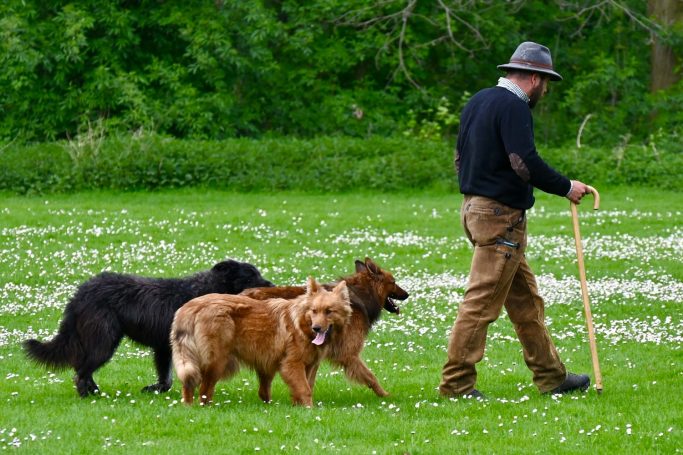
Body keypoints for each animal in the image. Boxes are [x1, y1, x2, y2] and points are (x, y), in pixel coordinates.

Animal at [23, 262, 272, 398]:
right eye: (250, 275)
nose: (271, 284)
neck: (208, 289)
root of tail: (81, 292)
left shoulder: (164, 348)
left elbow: (166, 379)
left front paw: (155, 389)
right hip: (104, 342)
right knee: (81, 371)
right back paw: (89, 395)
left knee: (82, 368)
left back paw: (95, 392)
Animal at [171, 276, 352, 408]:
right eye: (314, 311)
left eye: (329, 311)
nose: (317, 328)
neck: (301, 323)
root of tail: (191, 305)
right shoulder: (292, 365)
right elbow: (305, 390)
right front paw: (310, 410)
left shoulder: (309, 367)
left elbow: (302, 389)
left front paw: (298, 408)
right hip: (217, 362)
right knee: (203, 390)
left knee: (191, 385)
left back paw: (190, 407)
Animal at [242, 258, 408, 398]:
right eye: (393, 282)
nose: (407, 294)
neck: (361, 294)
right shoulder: (348, 354)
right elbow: (370, 377)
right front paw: (385, 395)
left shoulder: (316, 353)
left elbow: (310, 380)